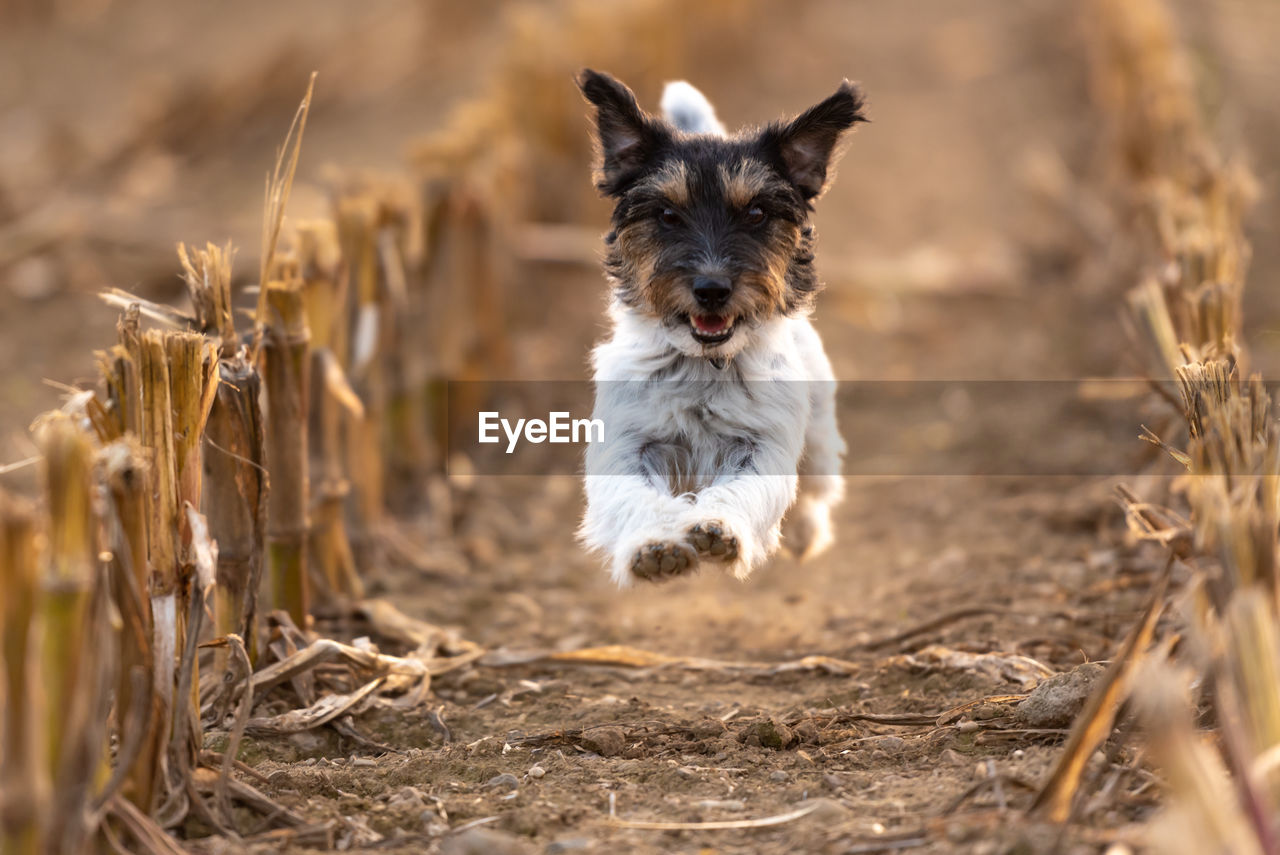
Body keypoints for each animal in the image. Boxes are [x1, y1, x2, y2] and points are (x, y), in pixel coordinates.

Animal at [578, 70, 865, 583]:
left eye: (756, 213)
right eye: (667, 215)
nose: (712, 289)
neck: (703, 365)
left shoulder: (761, 441)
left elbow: (748, 489)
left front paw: (720, 529)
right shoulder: (629, 439)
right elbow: (632, 495)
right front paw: (653, 547)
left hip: (818, 436)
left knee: (815, 486)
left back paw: (803, 533)